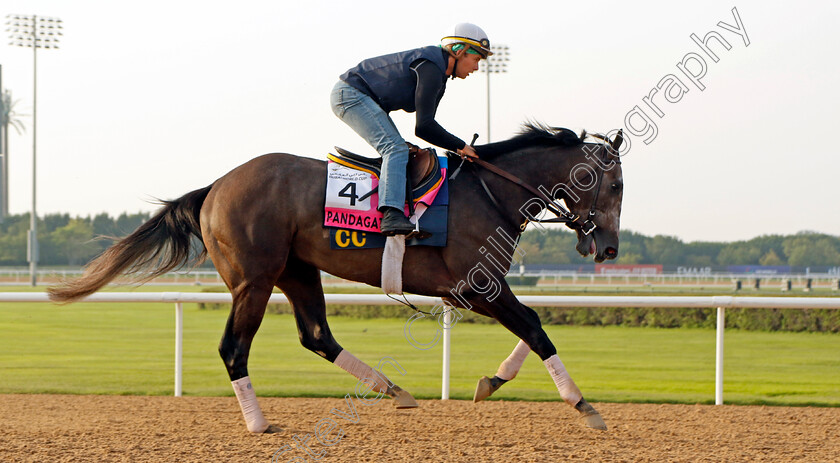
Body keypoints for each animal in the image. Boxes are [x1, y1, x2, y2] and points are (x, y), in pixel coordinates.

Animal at [47, 123, 624, 436]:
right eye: (615, 183)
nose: (609, 249)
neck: (490, 193)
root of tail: (215, 186)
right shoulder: (478, 286)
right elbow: (535, 327)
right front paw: (585, 406)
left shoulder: (477, 291)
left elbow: (535, 324)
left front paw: (492, 380)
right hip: (254, 280)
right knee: (235, 348)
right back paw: (259, 423)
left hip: (298, 271)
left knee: (317, 335)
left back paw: (394, 390)